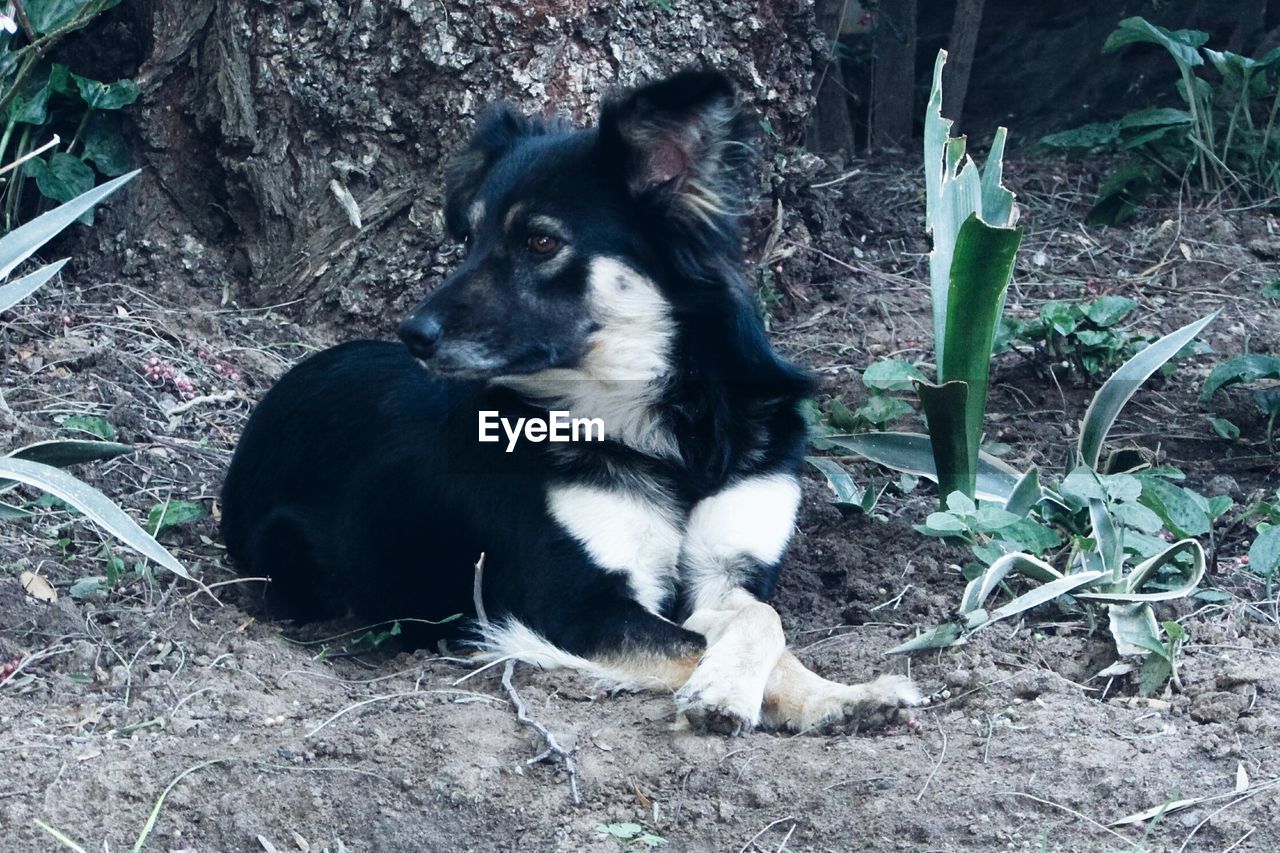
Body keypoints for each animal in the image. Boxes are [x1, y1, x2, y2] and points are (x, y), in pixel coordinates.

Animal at [222, 71, 921, 732]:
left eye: (540, 241)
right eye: (470, 239)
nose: (412, 334)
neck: (669, 433)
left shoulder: (731, 566)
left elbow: (763, 622)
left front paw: (842, 696)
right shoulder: (579, 605)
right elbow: (704, 640)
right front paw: (726, 692)